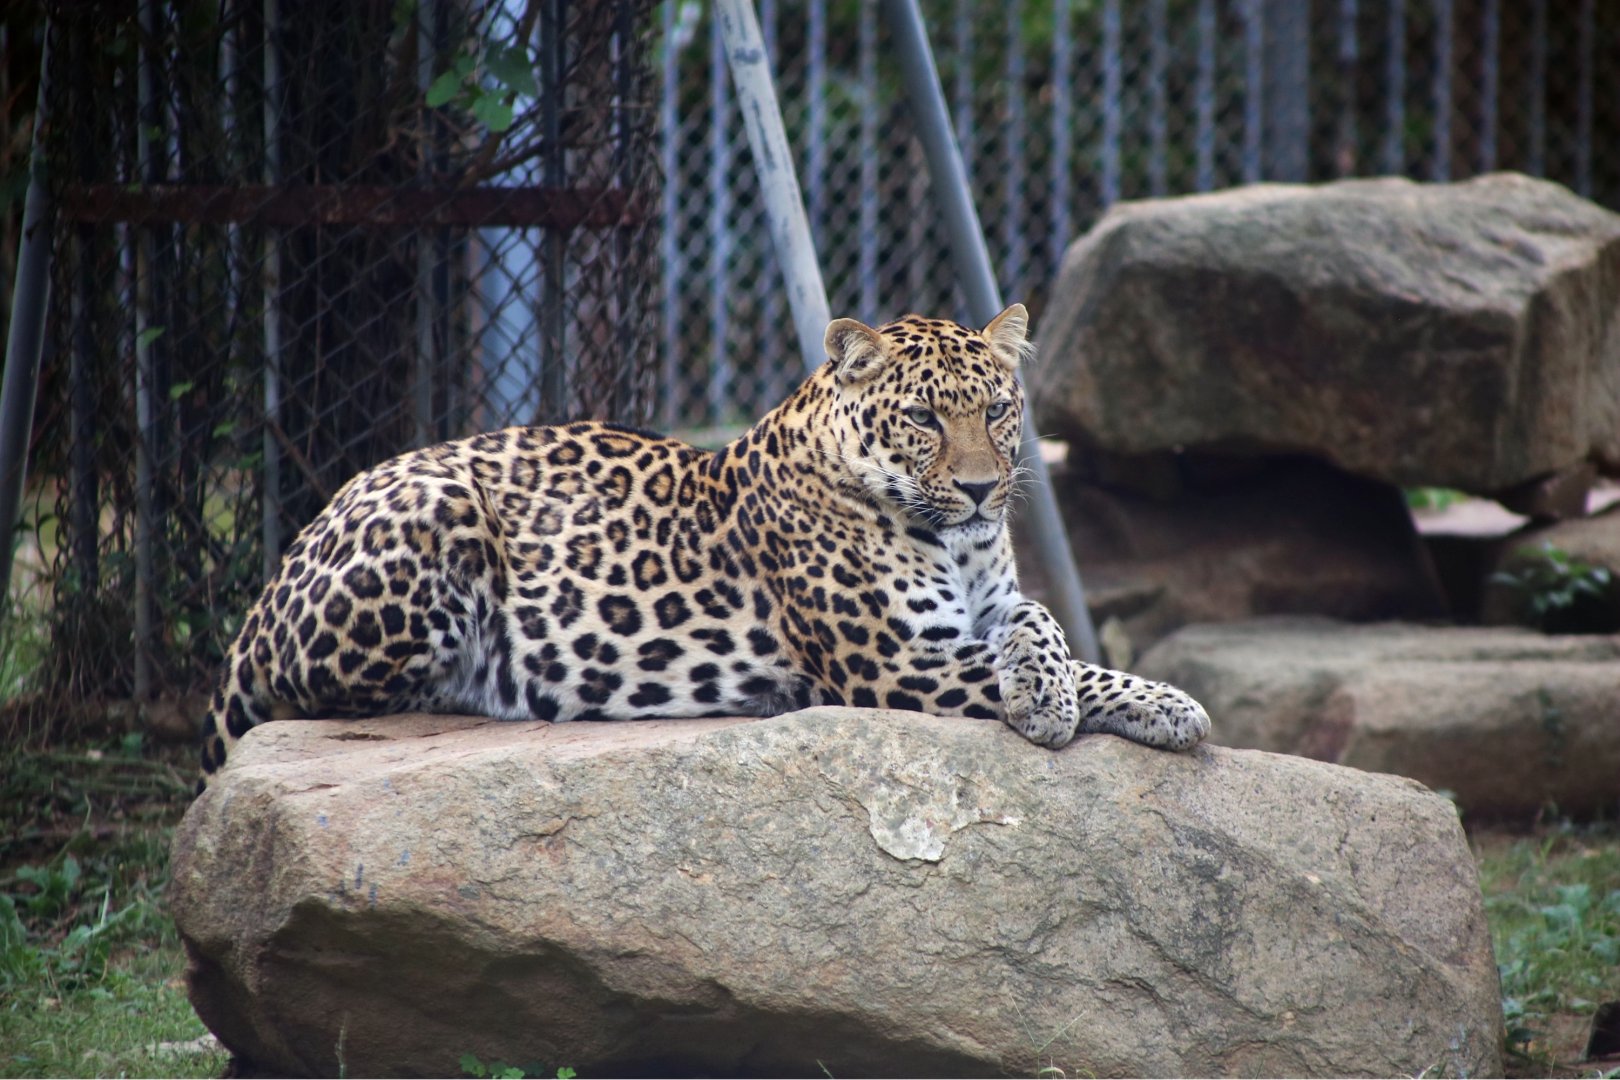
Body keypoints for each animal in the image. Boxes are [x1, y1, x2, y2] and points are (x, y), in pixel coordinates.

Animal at [198, 304, 1210, 785]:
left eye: (998, 411)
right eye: (923, 418)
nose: (978, 489)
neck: (953, 542)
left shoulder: (990, 605)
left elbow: (1045, 626)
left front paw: (1122, 698)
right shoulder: (893, 661)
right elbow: (1075, 665)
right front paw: (1117, 705)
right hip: (432, 510)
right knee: (330, 694)